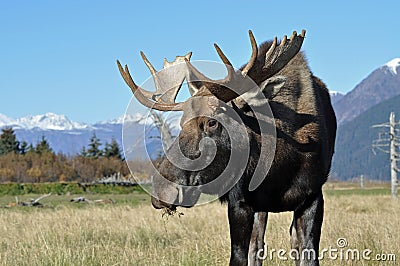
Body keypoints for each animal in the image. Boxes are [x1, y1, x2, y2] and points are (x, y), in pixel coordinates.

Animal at [117, 30, 336, 266]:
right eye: (182, 122)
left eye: (212, 122)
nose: (161, 191)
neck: (281, 167)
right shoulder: (240, 202)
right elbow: (241, 255)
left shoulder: (313, 196)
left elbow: (307, 254)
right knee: (257, 245)